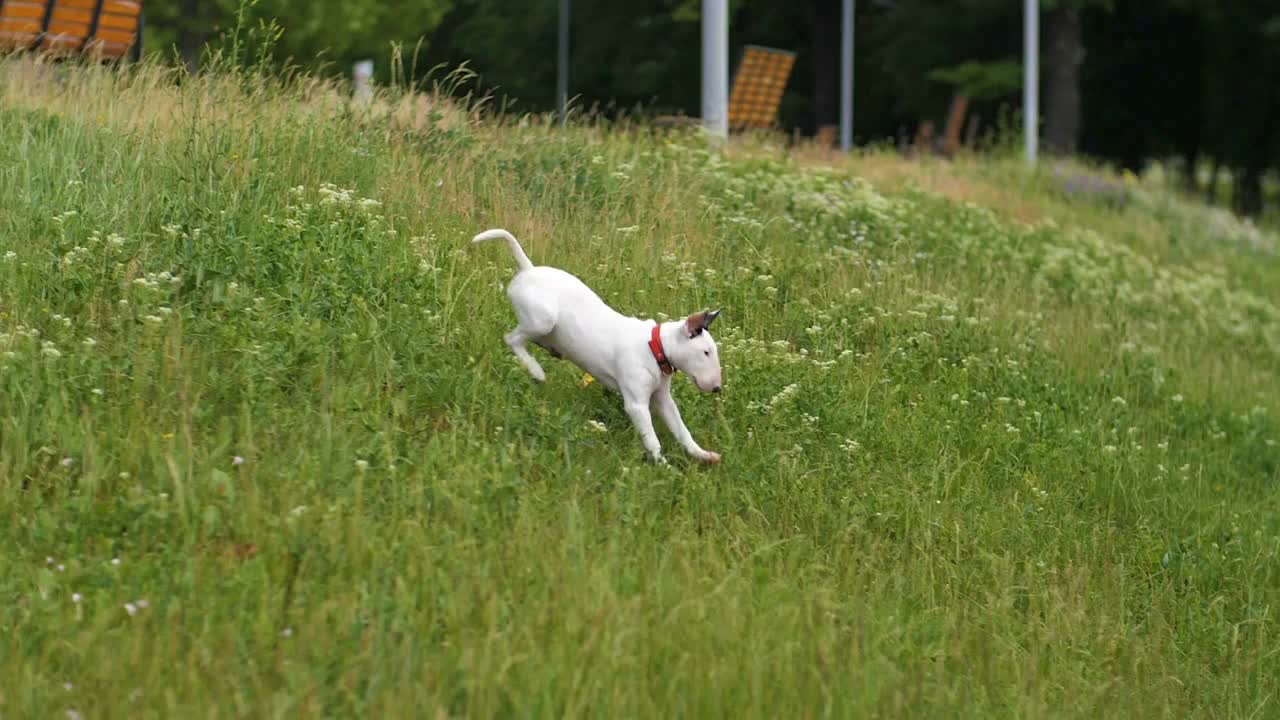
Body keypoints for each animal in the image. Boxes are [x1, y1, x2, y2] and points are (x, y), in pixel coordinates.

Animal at [476, 229, 727, 466]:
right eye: (706, 352)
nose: (717, 388)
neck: (654, 348)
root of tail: (528, 269)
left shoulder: (663, 399)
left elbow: (682, 430)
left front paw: (703, 455)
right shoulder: (636, 404)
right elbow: (652, 439)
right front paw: (662, 465)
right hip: (542, 319)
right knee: (512, 339)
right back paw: (536, 370)